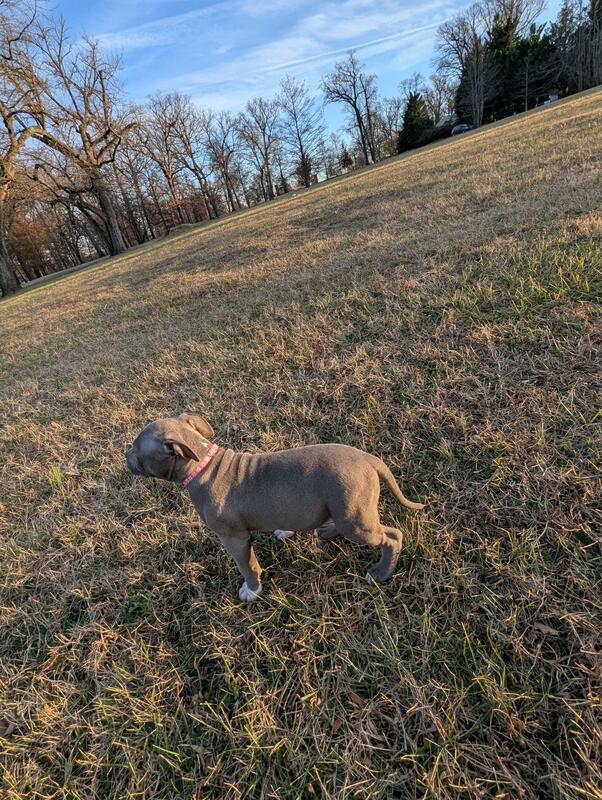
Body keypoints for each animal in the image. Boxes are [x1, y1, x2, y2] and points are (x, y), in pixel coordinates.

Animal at [126, 413, 424, 601]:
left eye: (136, 450)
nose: (123, 455)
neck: (203, 465)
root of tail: (370, 460)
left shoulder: (234, 538)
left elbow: (247, 565)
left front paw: (252, 590)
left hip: (356, 519)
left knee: (392, 536)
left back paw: (381, 573)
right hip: (345, 508)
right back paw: (326, 531)